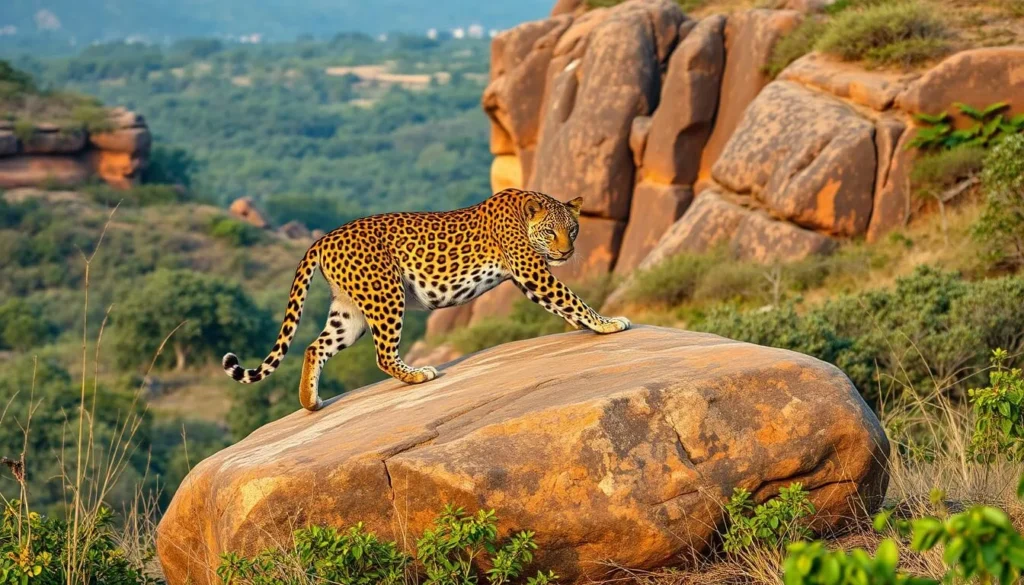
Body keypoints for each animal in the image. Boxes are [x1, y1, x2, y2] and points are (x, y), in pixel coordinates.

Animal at [221, 188, 631, 411]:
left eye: (573, 229)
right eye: (551, 232)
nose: (566, 251)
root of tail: (322, 239)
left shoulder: (528, 276)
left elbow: (565, 303)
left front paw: (592, 326)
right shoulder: (531, 271)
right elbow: (571, 298)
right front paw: (608, 324)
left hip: (349, 311)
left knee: (314, 346)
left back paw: (311, 402)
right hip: (386, 294)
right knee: (382, 354)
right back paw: (418, 374)